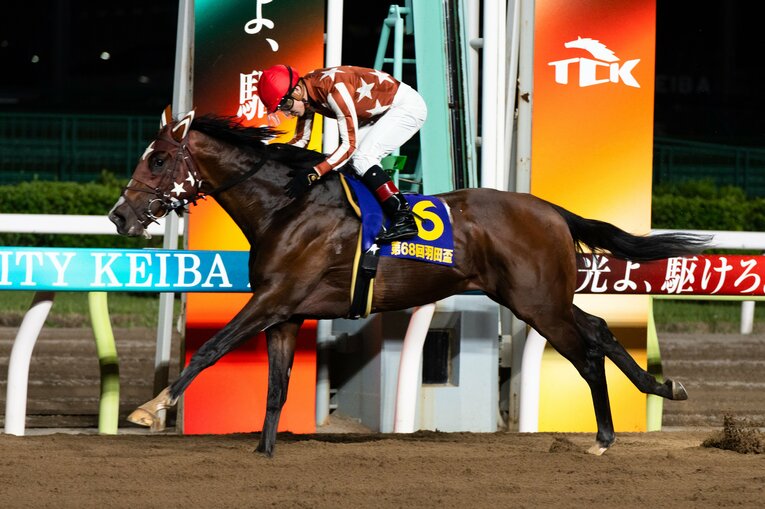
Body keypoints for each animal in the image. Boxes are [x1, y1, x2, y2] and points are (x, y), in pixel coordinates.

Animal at [109, 107, 709, 457]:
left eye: (158, 160)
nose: (118, 216)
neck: (287, 205)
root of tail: (552, 211)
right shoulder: (286, 311)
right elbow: (277, 386)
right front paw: (264, 452)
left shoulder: (272, 299)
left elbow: (211, 347)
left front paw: (149, 409)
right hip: (538, 297)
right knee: (601, 329)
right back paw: (661, 389)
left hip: (538, 303)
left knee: (586, 350)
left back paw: (605, 437)